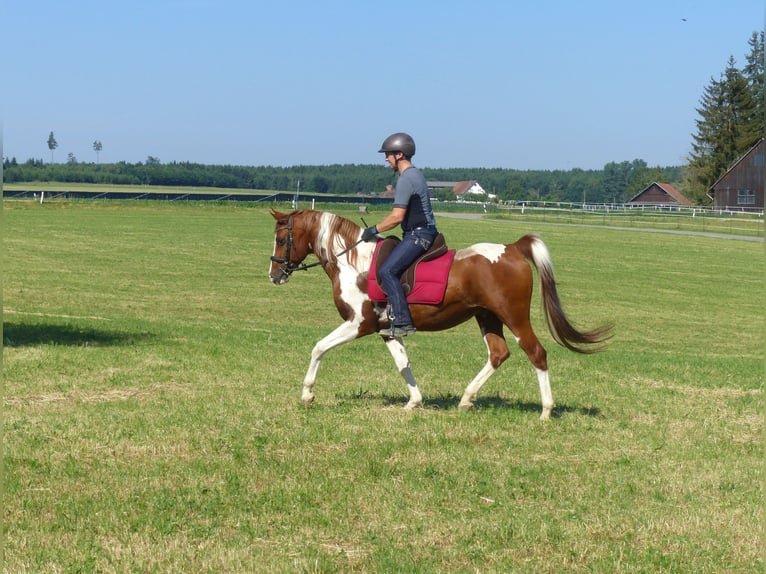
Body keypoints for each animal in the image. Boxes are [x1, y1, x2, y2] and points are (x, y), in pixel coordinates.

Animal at [268, 209, 612, 419]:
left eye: (282, 239)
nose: (274, 275)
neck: (354, 262)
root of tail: (512, 248)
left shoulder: (358, 324)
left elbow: (318, 348)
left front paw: (307, 395)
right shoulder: (386, 331)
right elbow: (403, 364)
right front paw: (414, 402)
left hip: (514, 317)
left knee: (536, 353)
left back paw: (545, 411)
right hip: (487, 317)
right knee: (498, 354)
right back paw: (466, 399)